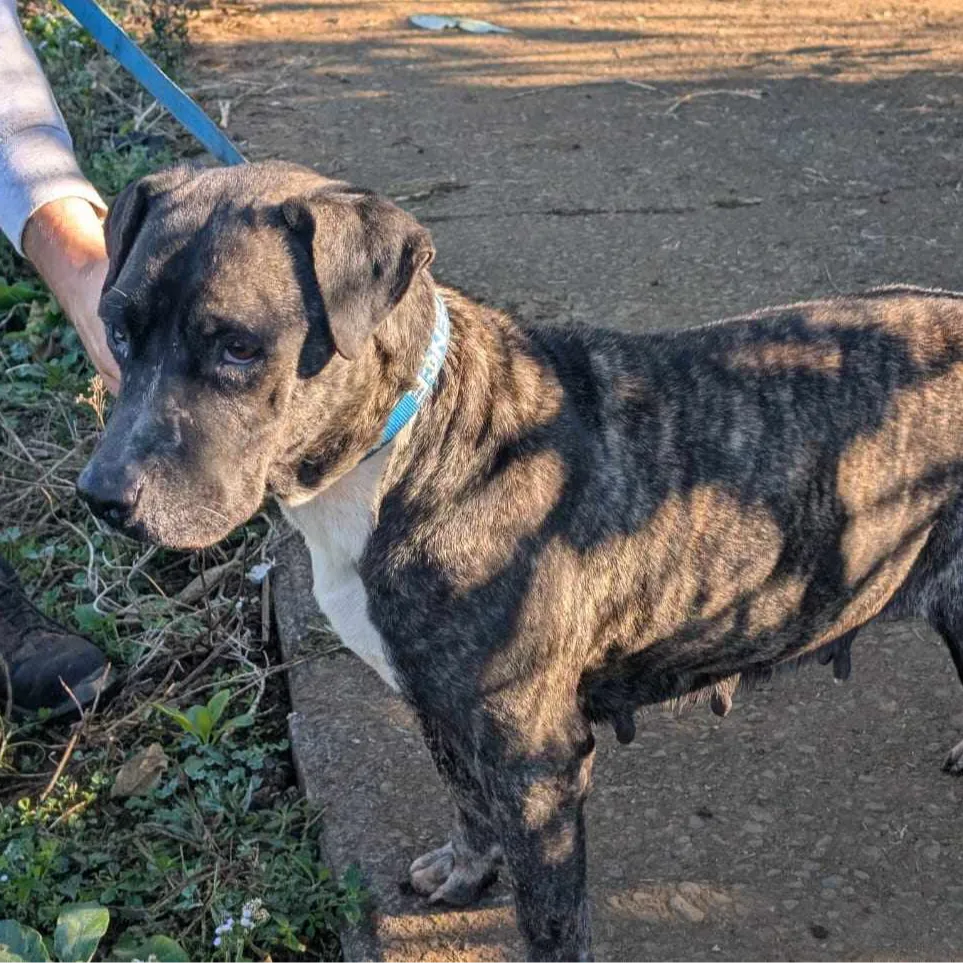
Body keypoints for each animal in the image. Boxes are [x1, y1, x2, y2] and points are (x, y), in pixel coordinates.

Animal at [79, 161, 963, 962]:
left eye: (238, 346)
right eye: (118, 328)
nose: (101, 494)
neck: (408, 444)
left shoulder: (535, 761)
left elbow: (550, 916)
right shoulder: (439, 706)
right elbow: (465, 799)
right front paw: (467, 869)